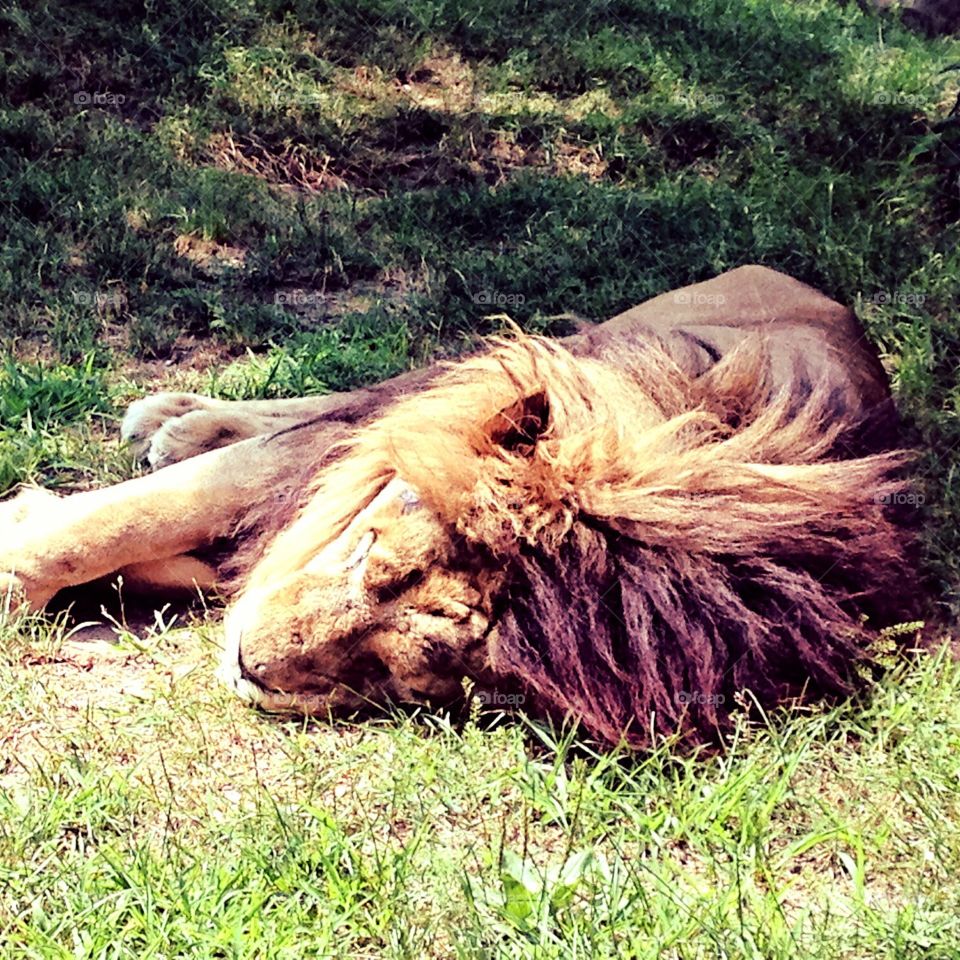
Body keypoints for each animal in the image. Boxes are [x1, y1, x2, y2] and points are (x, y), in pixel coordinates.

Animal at [0, 266, 919, 747]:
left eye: (394, 677)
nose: (252, 668)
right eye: (370, 553)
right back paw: (181, 418)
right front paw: (23, 552)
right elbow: (136, 514)